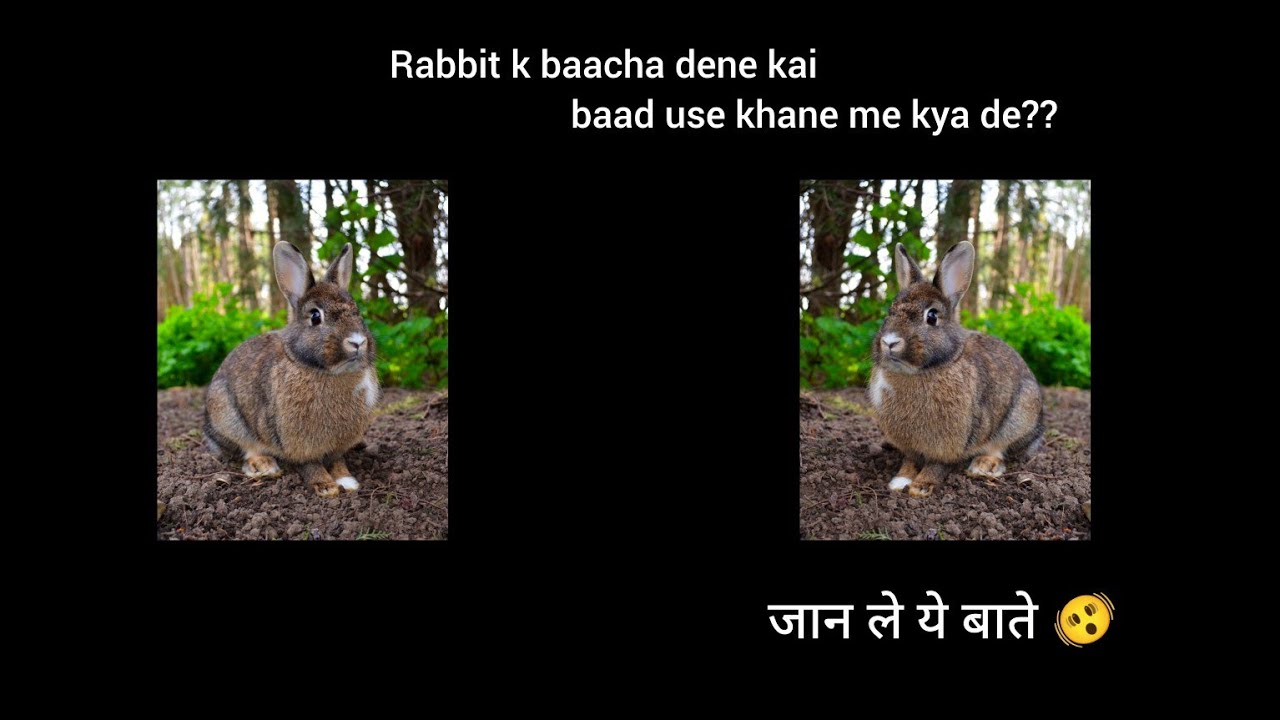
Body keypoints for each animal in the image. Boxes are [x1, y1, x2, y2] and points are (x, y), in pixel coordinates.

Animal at [202, 242, 381, 498]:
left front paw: (347, 481)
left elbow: (337, 461)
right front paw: (326, 487)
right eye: (315, 316)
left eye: (357, 311)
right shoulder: (299, 443)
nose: (357, 341)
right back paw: (264, 466)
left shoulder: (339, 446)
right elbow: (310, 464)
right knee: (246, 450)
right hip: (227, 418)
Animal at [867, 241, 1043, 498]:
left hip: (1019, 418)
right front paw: (900, 481)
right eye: (890, 311)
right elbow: (910, 461)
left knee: (1002, 450)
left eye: (932, 316)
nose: (890, 341)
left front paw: (921, 487)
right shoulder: (909, 446)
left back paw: (983, 466)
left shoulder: (949, 443)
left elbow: (937, 465)